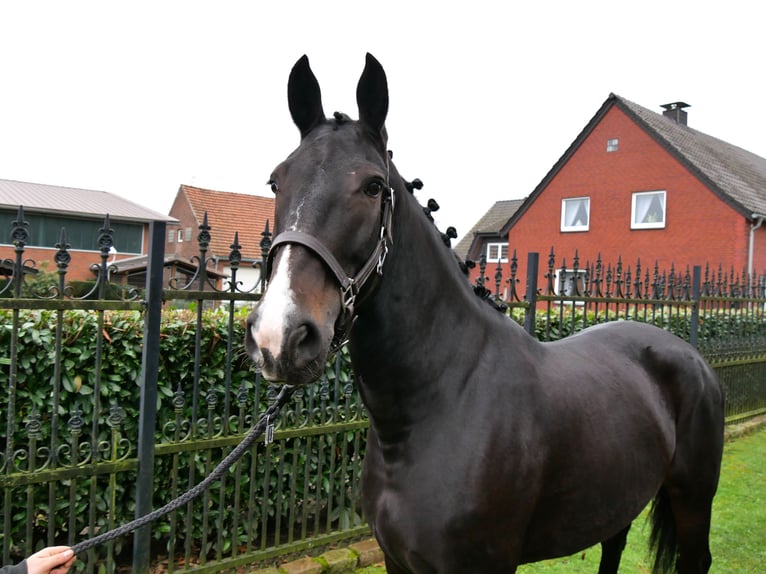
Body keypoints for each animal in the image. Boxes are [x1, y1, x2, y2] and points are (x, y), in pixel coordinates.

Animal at [246, 54, 728, 574]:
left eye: (373, 186)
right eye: (276, 181)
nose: (280, 336)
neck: (436, 403)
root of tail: (689, 355)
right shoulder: (396, 560)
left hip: (693, 498)